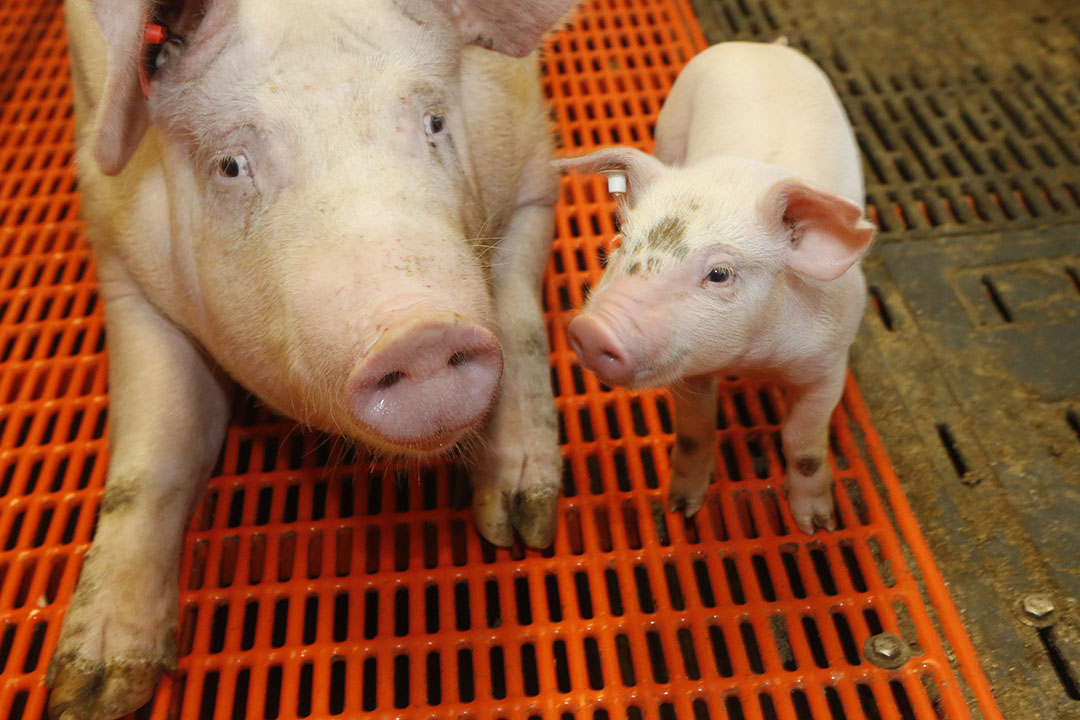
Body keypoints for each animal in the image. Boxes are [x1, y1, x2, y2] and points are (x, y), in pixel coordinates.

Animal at [47, 1, 578, 716]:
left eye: (435, 122)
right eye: (231, 165)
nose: (421, 330)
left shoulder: (532, 176)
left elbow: (519, 324)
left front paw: (519, 528)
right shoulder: (122, 261)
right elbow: (153, 458)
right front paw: (91, 691)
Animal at [557, 40, 876, 535]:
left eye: (720, 273)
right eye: (621, 242)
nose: (591, 331)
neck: (752, 358)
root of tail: (765, 47)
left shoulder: (828, 365)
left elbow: (803, 445)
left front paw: (818, 526)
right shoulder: (689, 372)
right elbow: (693, 433)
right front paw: (680, 510)